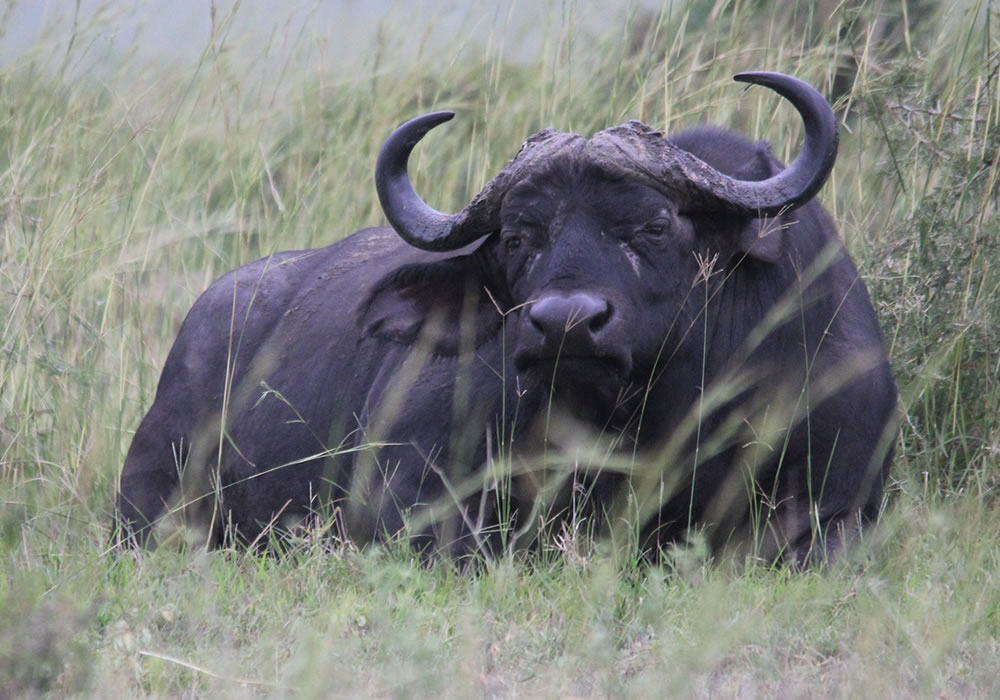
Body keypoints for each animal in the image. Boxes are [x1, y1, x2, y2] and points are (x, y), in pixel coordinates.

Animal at [113, 72, 896, 564]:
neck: (659, 418)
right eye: (520, 237)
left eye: (653, 226)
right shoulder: (405, 499)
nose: (565, 323)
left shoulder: (840, 505)